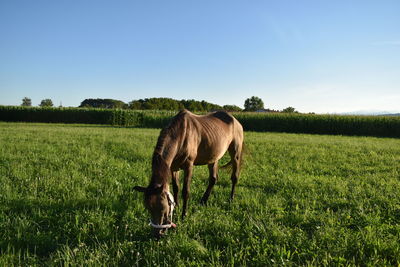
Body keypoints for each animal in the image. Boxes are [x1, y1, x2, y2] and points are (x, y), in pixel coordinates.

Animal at [134, 110, 244, 238]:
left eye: (162, 207)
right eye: (148, 208)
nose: (157, 234)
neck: (181, 135)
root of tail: (235, 120)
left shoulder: (189, 166)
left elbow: (185, 191)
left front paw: (184, 215)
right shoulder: (173, 168)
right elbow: (176, 188)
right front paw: (176, 207)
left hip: (235, 153)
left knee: (234, 177)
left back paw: (231, 199)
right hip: (213, 157)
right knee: (213, 179)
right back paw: (203, 201)